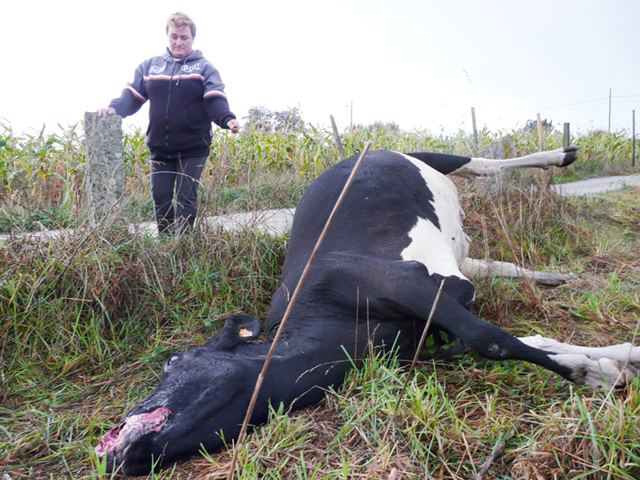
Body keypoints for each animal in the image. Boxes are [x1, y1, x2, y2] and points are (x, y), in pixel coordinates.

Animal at [95, 147, 640, 476]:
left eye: (173, 361)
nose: (110, 440)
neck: (339, 333)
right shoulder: (429, 335)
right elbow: (525, 340)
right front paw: (613, 357)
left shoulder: (409, 285)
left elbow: (494, 340)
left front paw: (595, 374)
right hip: (458, 253)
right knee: (486, 257)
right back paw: (552, 276)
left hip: (425, 158)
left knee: (479, 164)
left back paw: (559, 155)